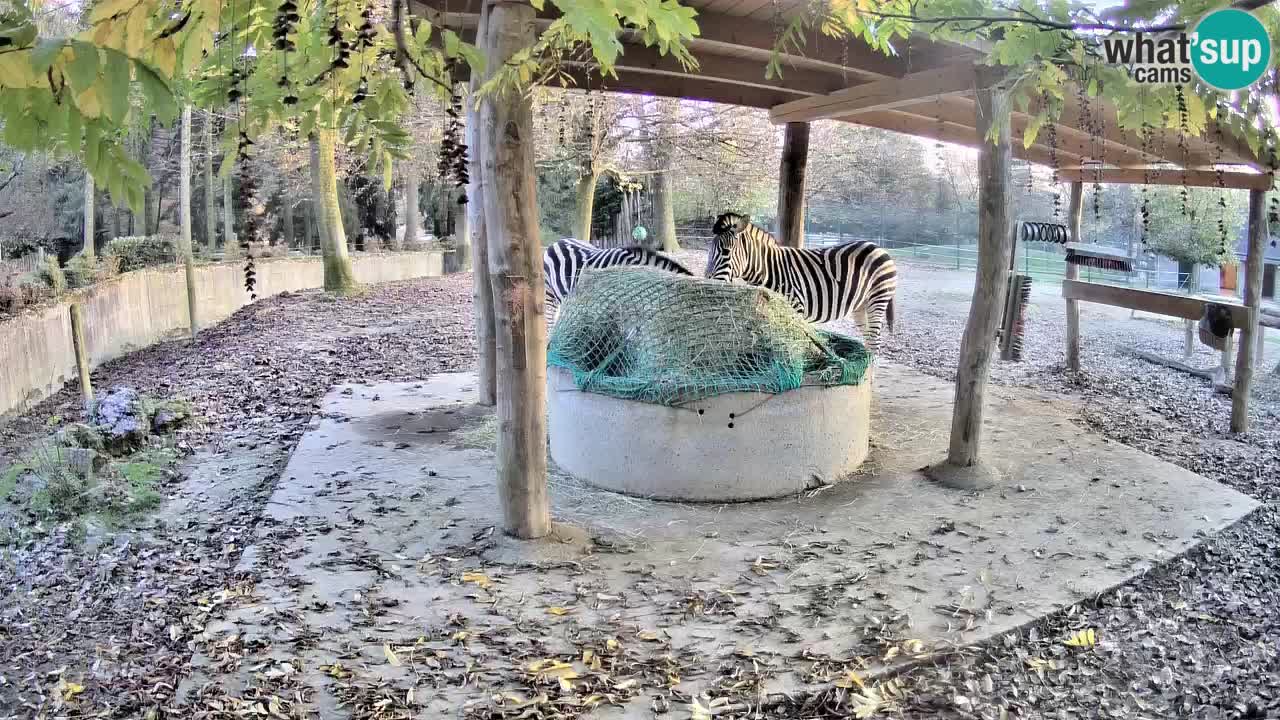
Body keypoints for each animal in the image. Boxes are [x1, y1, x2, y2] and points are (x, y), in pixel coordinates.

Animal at [701, 208, 901, 351]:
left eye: (726, 252)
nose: (707, 284)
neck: (769, 270)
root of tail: (879, 248)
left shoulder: (795, 306)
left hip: (877, 299)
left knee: (874, 342)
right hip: (861, 305)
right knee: (868, 339)